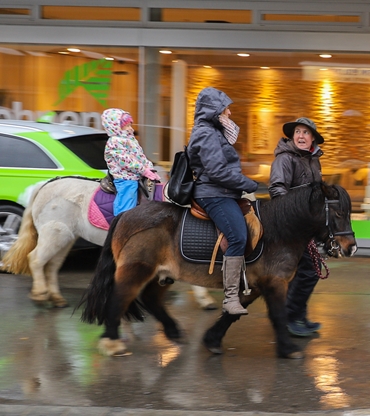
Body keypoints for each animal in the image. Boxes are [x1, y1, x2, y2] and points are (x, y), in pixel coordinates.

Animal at [79, 182, 356, 358]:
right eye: (339, 212)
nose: (351, 247)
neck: (279, 231)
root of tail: (125, 215)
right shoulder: (275, 284)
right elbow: (278, 315)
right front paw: (288, 349)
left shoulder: (256, 285)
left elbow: (233, 313)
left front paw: (212, 340)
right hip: (135, 270)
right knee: (118, 299)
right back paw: (111, 341)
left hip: (161, 274)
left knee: (150, 299)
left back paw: (173, 331)